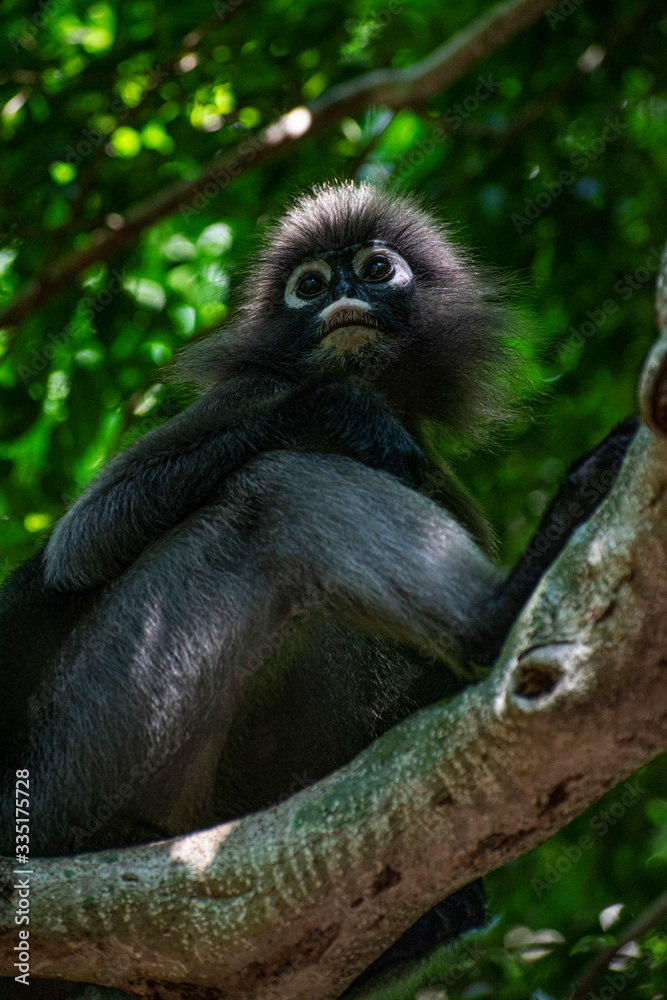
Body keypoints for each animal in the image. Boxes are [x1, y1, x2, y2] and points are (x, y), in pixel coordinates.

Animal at [0, 182, 637, 996]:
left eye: (375, 270)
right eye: (309, 285)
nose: (339, 296)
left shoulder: (431, 465)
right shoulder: (257, 388)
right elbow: (84, 542)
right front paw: (336, 410)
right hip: (78, 766)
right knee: (270, 490)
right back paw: (508, 611)